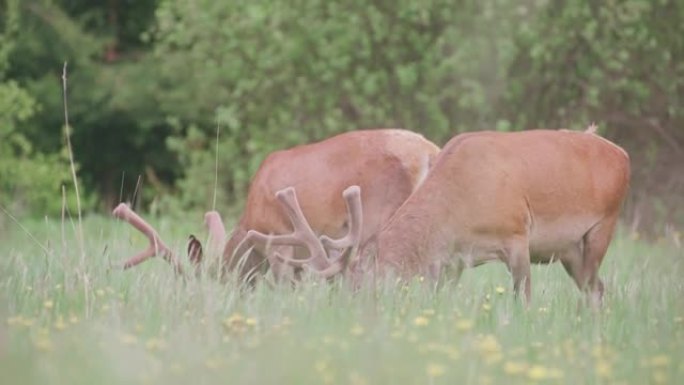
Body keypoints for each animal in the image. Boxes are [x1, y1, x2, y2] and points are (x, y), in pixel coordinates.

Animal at [272, 126, 632, 306]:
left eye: (363, 292)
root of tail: (624, 154)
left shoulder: (517, 232)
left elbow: (524, 297)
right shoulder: (454, 259)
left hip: (603, 224)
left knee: (596, 287)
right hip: (571, 251)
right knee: (596, 288)